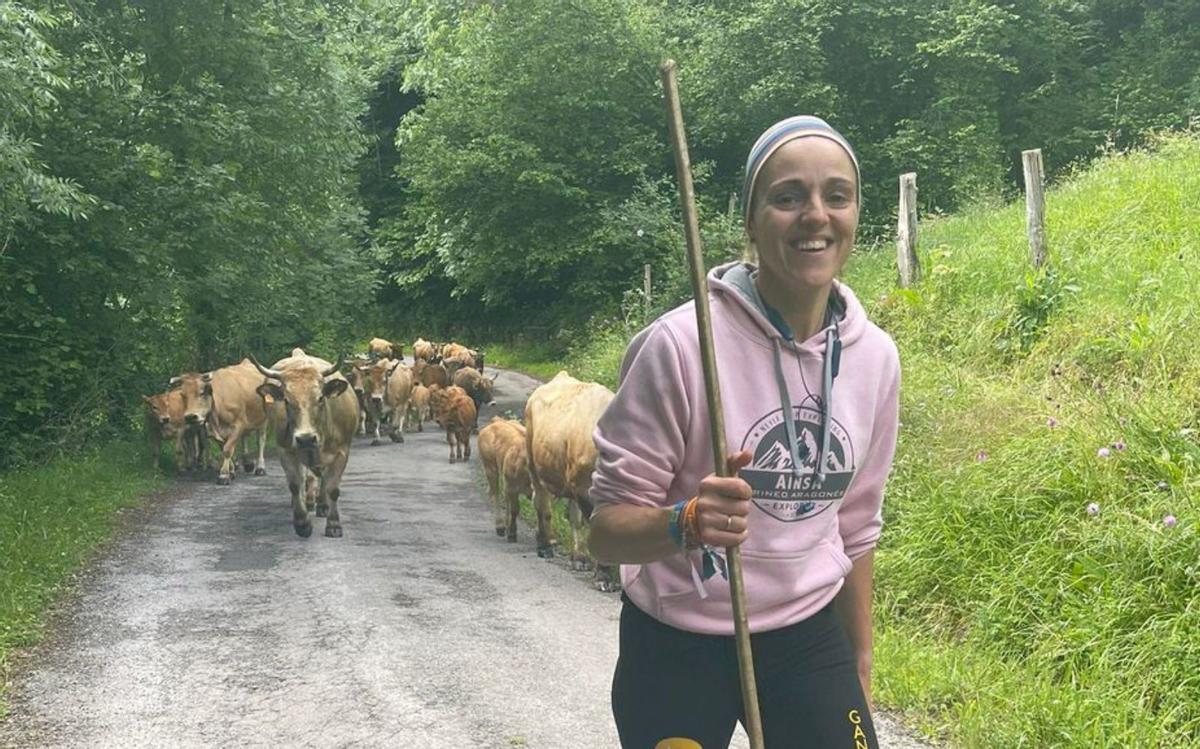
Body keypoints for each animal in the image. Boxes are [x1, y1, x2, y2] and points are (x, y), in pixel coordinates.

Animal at [528, 369, 619, 590]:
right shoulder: (584, 487)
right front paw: (604, 575)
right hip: (535, 465)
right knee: (542, 504)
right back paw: (544, 545)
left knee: (573, 517)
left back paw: (578, 557)